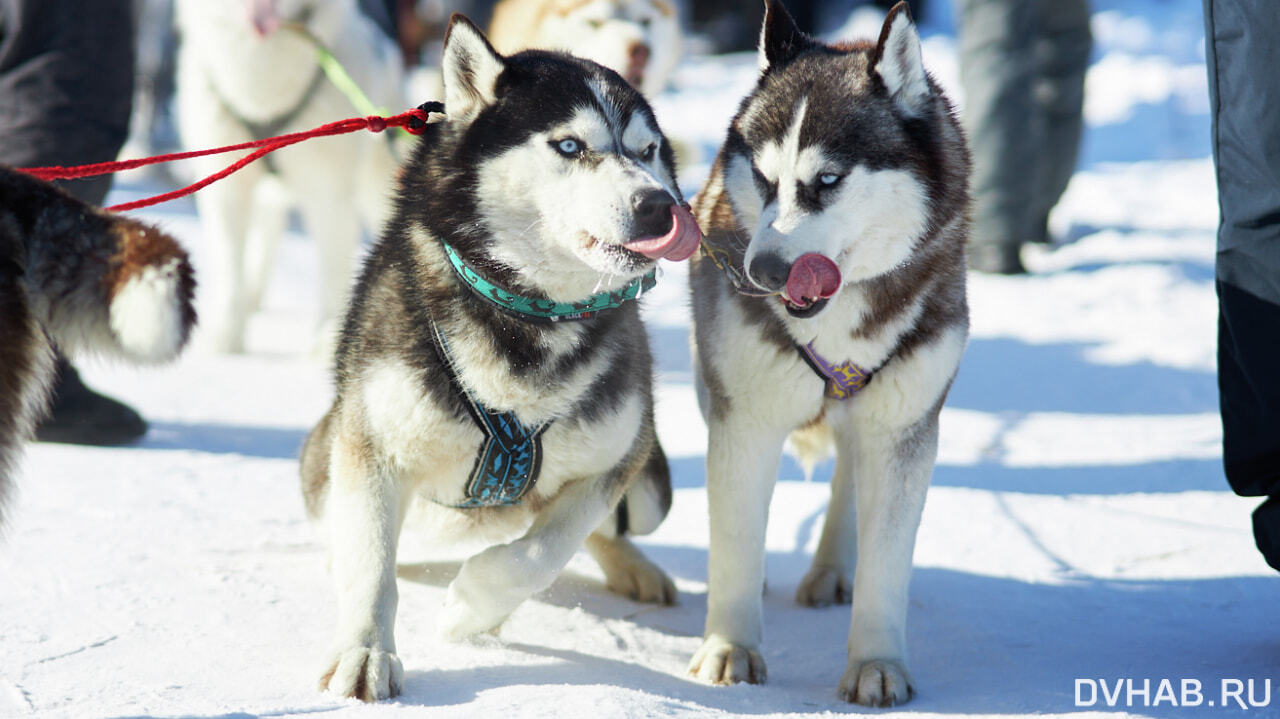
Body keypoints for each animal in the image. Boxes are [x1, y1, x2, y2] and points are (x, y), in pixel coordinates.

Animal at [176, 0, 404, 350]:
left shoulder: (328, 193)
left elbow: (333, 267)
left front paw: (328, 338)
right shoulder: (227, 192)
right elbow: (230, 269)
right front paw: (226, 336)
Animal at [298, 15, 701, 701]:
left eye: (647, 151)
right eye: (569, 146)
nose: (660, 206)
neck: (530, 314)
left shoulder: (618, 457)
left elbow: (543, 550)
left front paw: (470, 609)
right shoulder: (370, 449)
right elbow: (372, 565)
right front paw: (364, 652)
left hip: (653, 490)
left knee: (607, 529)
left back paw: (634, 567)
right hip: (321, 465)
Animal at [691, 1, 967, 706]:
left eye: (829, 180)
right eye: (764, 180)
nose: (761, 271)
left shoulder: (905, 429)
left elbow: (887, 564)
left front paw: (877, 663)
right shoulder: (744, 420)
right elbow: (736, 535)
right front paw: (731, 648)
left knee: (850, 470)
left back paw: (834, 567)